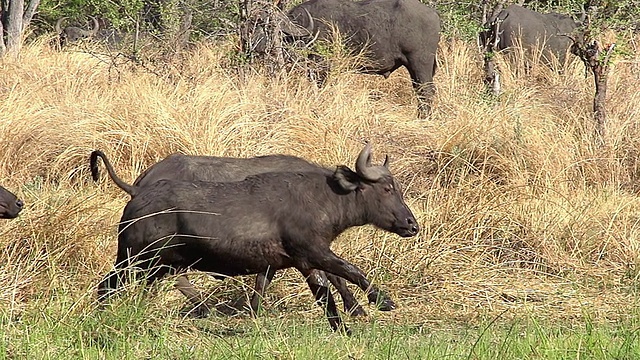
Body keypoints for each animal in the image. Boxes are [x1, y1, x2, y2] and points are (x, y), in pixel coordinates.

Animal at [94, 142, 416, 334]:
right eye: (387, 189)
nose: (412, 225)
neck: (324, 196)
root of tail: (139, 194)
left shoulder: (302, 262)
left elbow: (323, 294)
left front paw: (343, 327)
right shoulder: (313, 252)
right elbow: (350, 271)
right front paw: (381, 301)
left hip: (157, 266)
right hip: (134, 259)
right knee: (105, 286)